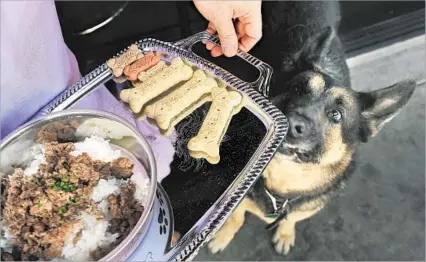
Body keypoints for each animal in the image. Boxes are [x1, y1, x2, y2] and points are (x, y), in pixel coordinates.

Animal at [208, 1, 414, 255]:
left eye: (336, 115)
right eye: (297, 88)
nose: (291, 122)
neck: (283, 184)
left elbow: (292, 218)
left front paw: (285, 232)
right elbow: (236, 213)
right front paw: (224, 233)